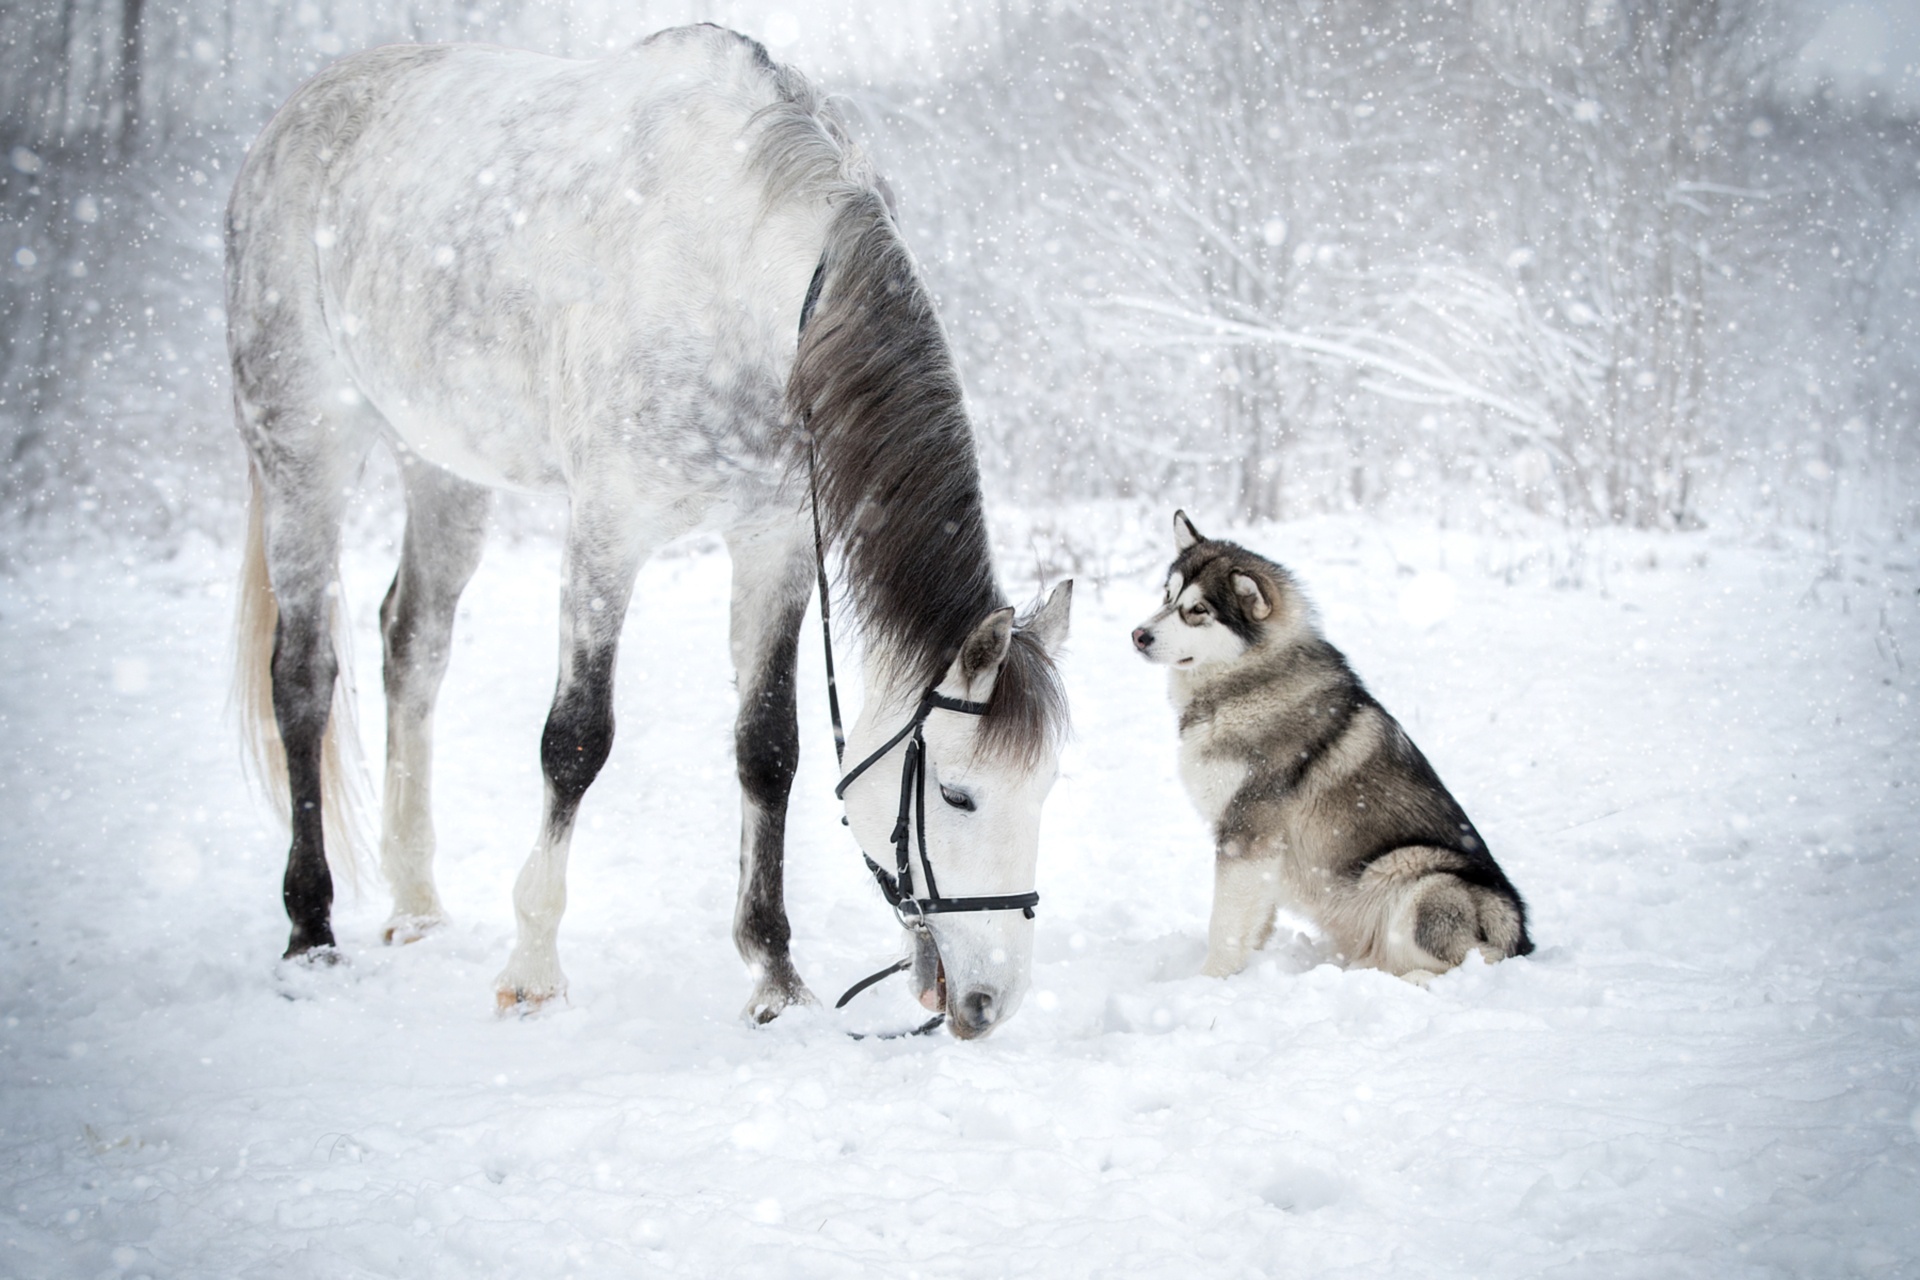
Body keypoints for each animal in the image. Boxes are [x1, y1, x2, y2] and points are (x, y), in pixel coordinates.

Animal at [224, 25, 1075, 1036]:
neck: (746, 275)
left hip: (443, 467)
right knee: (302, 680)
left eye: (1046, 790)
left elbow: (768, 748)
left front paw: (774, 977)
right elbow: (576, 741)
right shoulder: (607, 533)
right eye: (956, 793)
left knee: (412, 644)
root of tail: (293, 116)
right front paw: (533, 971)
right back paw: (310, 931)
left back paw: (418, 907)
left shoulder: (775, 542)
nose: (989, 1000)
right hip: (302, 447)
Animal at [1128, 510, 1536, 982]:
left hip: (1414, 873)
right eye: (1167, 595)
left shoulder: (1247, 832)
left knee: (1469, 960)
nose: (1138, 635)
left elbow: (1225, 925)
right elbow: (1254, 920)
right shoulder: (1259, 851)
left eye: (1197, 611)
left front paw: (1211, 981)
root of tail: (1521, 938)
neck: (1246, 681)